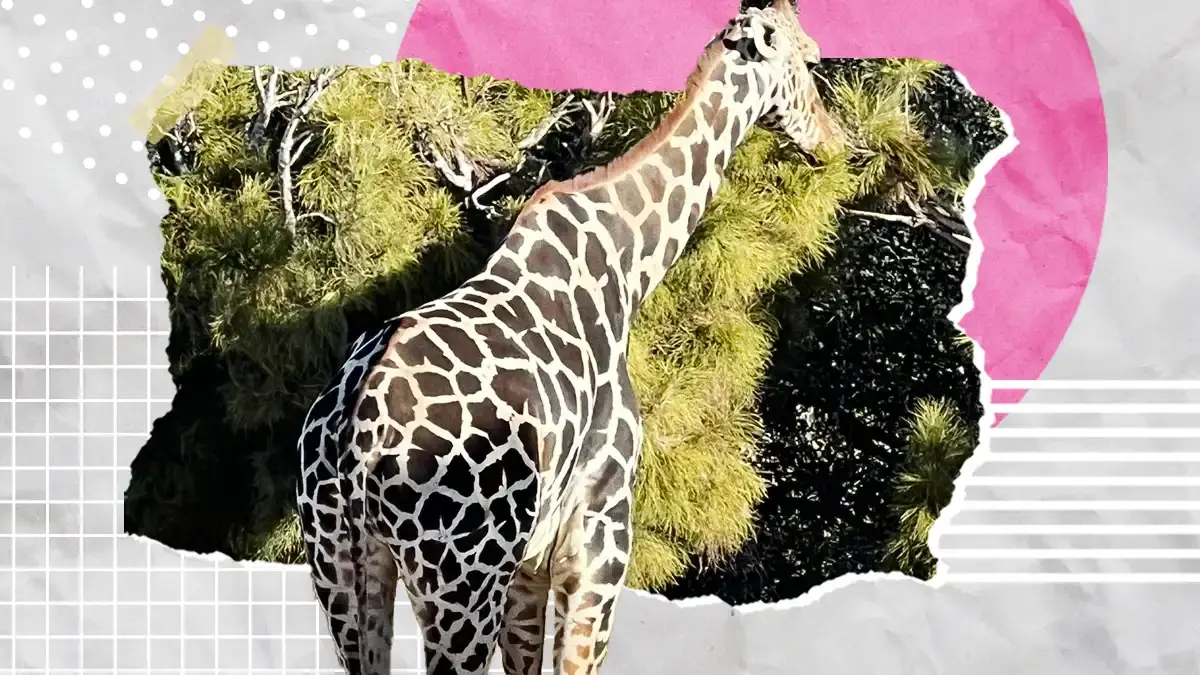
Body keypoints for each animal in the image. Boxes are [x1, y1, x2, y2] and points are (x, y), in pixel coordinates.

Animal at [295, 1, 844, 673]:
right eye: (808, 58)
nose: (831, 140)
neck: (629, 264)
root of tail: (351, 442)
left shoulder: (531, 568)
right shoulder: (600, 547)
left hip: (343, 567)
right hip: (462, 583)